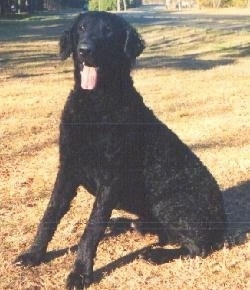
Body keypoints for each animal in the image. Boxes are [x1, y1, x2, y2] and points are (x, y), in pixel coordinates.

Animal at [15, 11, 227, 290]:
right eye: (81, 28)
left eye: (108, 31)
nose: (85, 50)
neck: (94, 105)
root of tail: (222, 219)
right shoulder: (68, 168)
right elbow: (50, 214)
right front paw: (34, 254)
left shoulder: (111, 178)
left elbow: (92, 228)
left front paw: (80, 273)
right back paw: (125, 224)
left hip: (169, 203)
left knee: (198, 247)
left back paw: (156, 254)